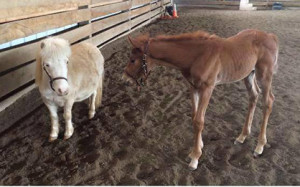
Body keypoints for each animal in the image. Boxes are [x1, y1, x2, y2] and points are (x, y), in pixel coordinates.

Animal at [122, 28, 278, 169]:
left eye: (133, 60)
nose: (125, 80)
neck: (196, 56)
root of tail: (271, 36)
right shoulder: (193, 88)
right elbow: (194, 117)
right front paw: (198, 147)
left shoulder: (207, 89)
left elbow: (199, 121)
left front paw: (195, 158)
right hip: (248, 74)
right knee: (254, 96)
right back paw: (242, 136)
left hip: (265, 75)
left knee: (268, 101)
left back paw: (260, 146)